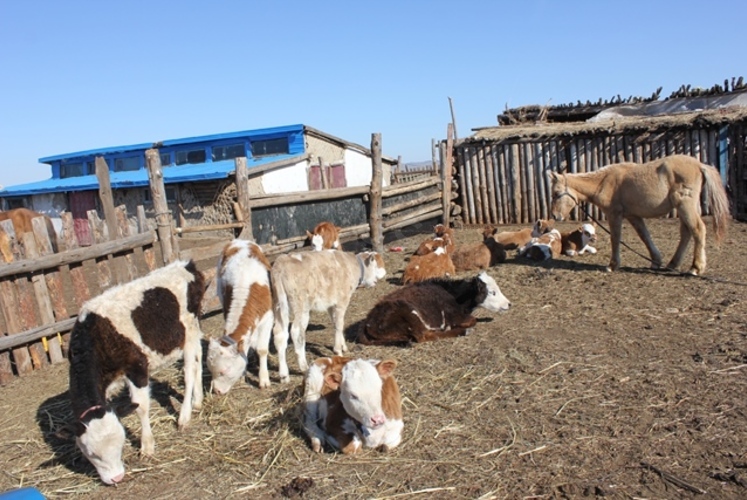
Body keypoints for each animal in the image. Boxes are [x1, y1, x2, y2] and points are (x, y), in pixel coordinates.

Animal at [63, 262, 205, 484]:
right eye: (92, 454)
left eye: (120, 445)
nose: (117, 478)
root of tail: (185, 265)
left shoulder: (137, 367)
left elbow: (141, 407)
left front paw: (147, 447)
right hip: (194, 329)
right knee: (199, 359)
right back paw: (198, 401)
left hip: (188, 331)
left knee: (190, 371)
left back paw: (184, 417)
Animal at [206, 239, 274, 394]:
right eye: (210, 369)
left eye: (224, 371)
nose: (217, 391)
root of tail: (239, 241)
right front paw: (243, 374)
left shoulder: (267, 318)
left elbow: (262, 350)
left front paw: (264, 380)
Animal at [270, 250, 386, 382]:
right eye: (377, 265)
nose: (384, 273)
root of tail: (281, 262)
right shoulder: (342, 300)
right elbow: (340, 324)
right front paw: (338, 351)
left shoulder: (331, 305)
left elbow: (336, 324)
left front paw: (343, 346)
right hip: (301, 306)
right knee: (296, 332)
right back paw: (303, 366)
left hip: (279, 306)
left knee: (279, 334)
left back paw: (284, 375)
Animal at [360, 270, 512, 348]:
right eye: (492, 292)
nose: (509, 304)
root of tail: (368, 321)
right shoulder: (454, 315)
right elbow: (473, 320)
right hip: (409, 314)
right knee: (424, 336)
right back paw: (462, 331)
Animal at [548, 154, 732, 276]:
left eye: (556, 193)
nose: (555, 216)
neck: (604, 182)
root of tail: (699, 165)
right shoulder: (633, 216)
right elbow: (645, 236)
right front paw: (656, 261)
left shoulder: (615, 214)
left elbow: (615, 238)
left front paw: (612, 265)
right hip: (684, 208)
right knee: (686, 232)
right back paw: (673, 263)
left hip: (685, 206)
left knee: (698, 229)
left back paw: (696, 267)